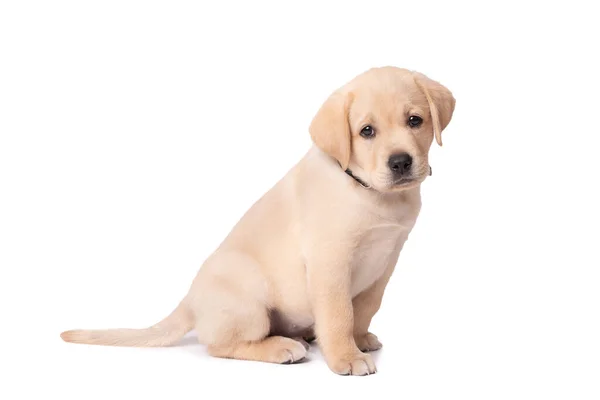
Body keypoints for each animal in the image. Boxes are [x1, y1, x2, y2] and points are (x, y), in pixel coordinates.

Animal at [61, 65, 454, 376]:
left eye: (415, 121)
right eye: (367, 131)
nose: (400, 162)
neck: (369, 191)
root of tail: (190, 301)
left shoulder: (386, 258)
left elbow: (366, 308)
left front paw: (359, 339)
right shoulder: (330, 261)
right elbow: (340, 313)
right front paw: (346, 356)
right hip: (249, 292)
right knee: (220, 345)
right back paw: (282, 347)